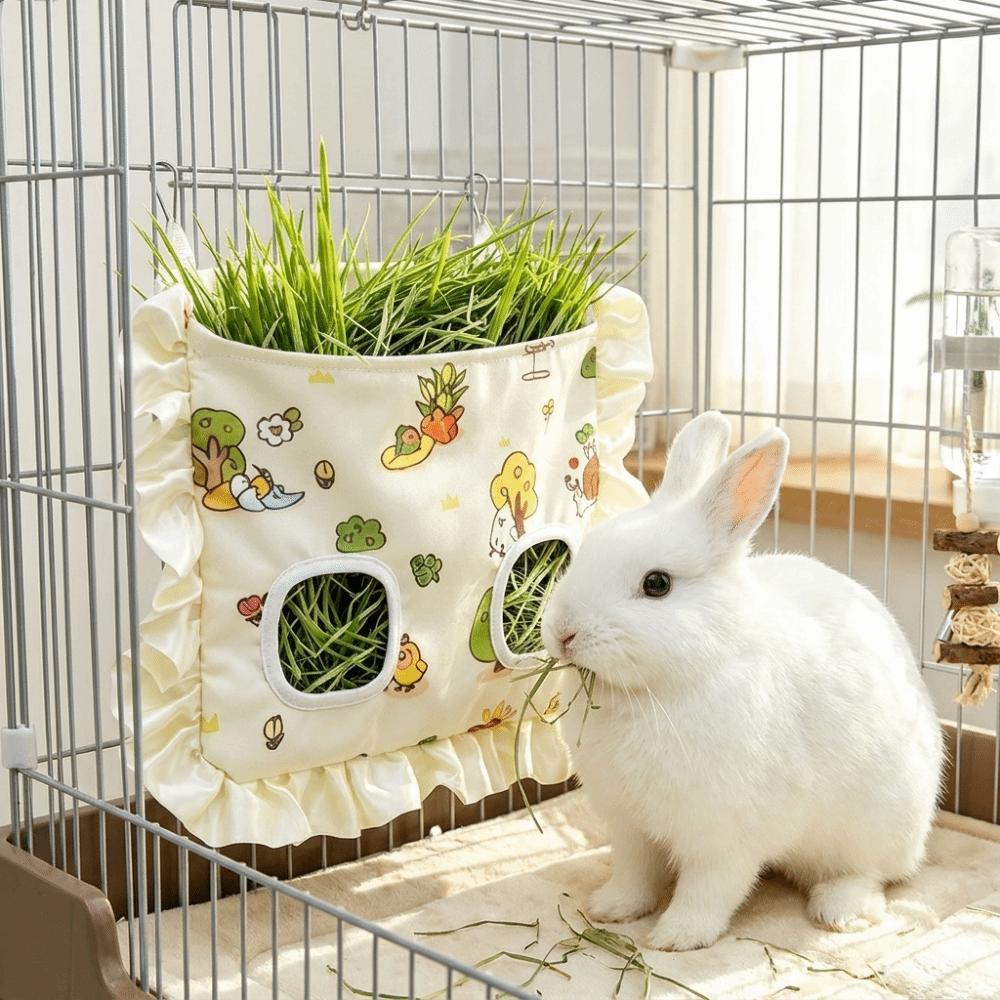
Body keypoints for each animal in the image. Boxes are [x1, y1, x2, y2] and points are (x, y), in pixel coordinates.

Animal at [540, 411, 943, 952]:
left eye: (657, 584)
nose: (562, 631)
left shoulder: (724, 835)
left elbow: (709, 889)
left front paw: (676, 937)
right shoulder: (629, 826)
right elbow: (635, 873)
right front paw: (611, 908)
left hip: (873, 826)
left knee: (873, 874)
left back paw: (839, 911)